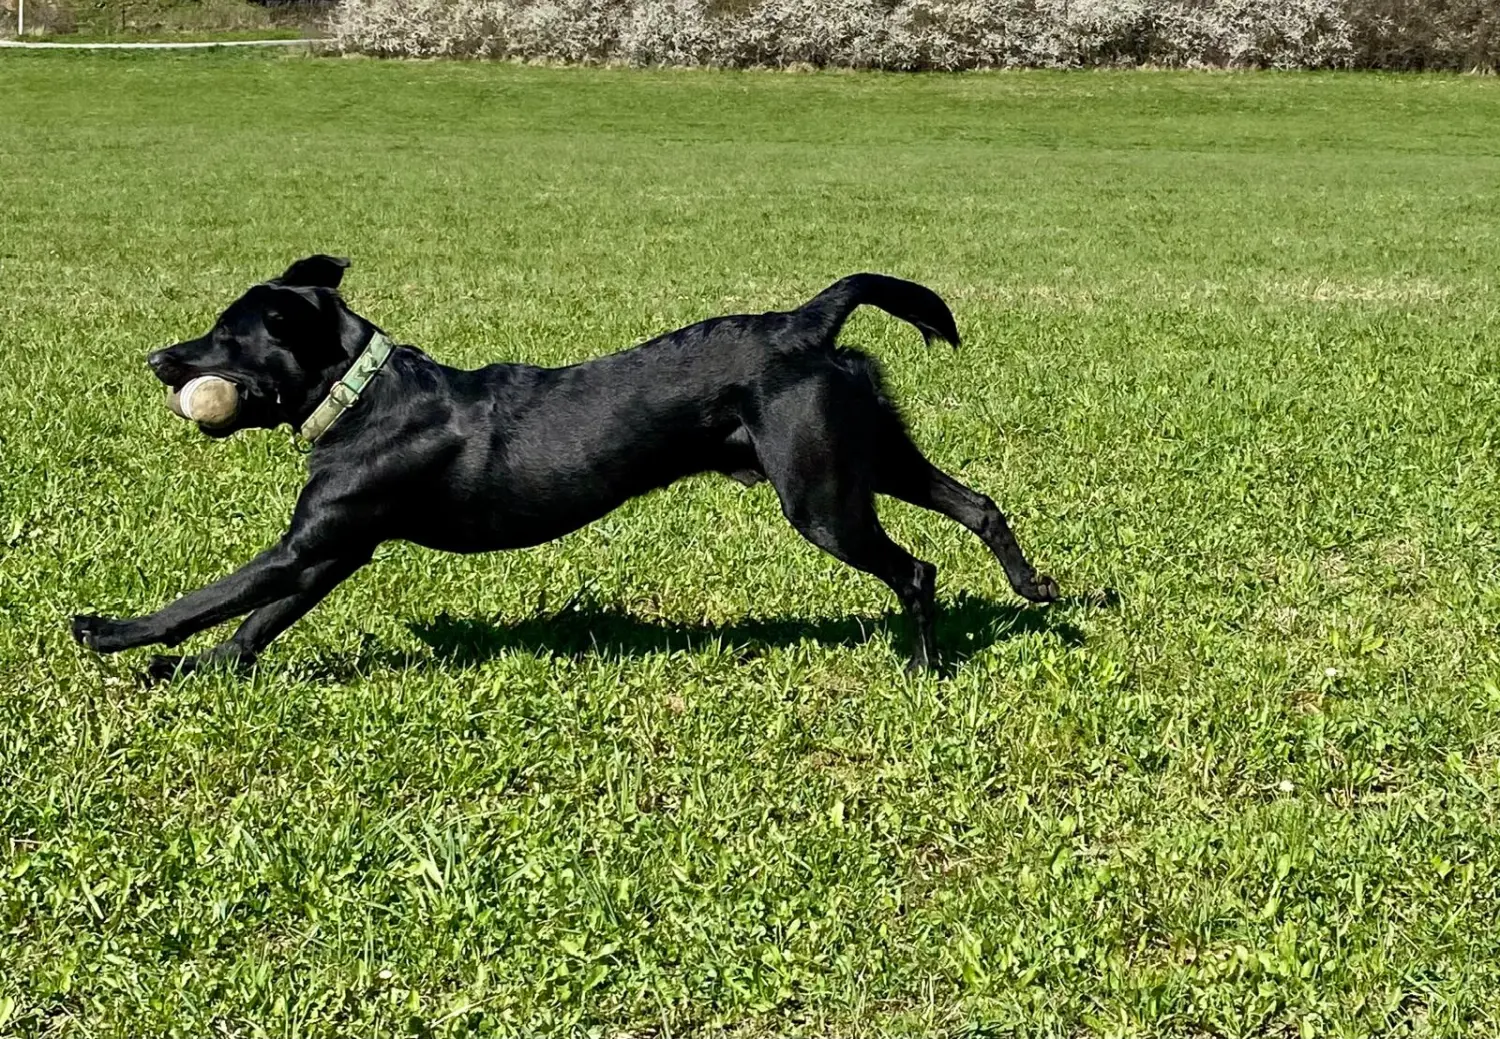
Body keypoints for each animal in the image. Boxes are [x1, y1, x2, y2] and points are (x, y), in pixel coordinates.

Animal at [70, 253, 1056, 671]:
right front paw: (198, 672)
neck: (359, 390)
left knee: (917, 568)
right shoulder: (330, 551)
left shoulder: (309, 544)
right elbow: (253, 622)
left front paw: (111, 634)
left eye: (224, 337)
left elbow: (205, 599)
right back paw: (1035, 587)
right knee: (977, 502)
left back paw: (925, 667)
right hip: (868, 455)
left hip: (821, 495)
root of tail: (806, 321)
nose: (158, 359)